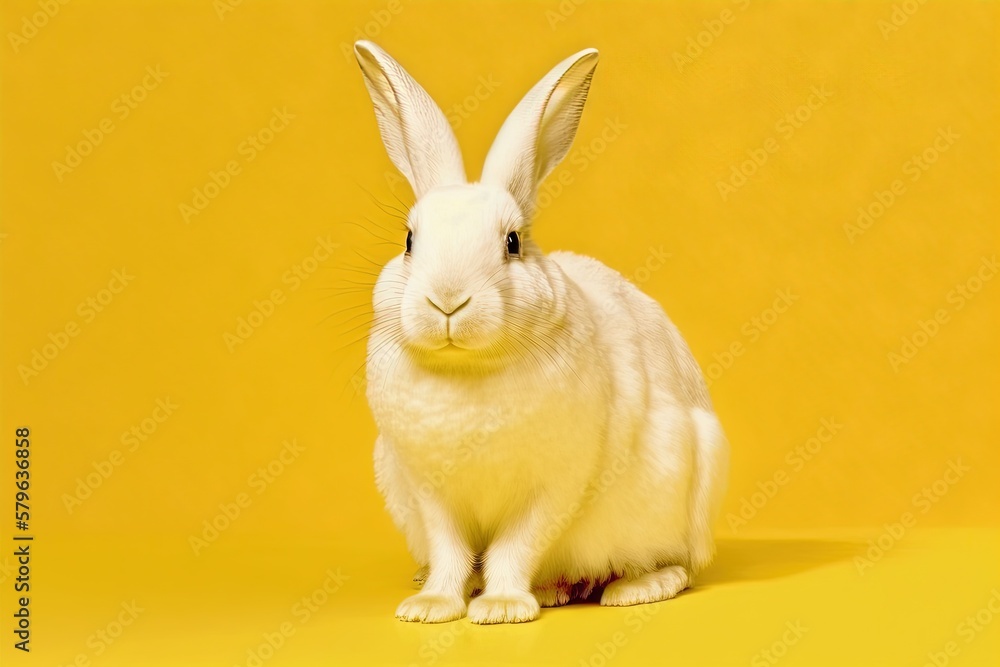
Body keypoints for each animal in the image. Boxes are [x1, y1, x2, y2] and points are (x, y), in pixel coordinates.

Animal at [356, 43, 732, 628]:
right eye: (409, 241)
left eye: (512, 242)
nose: (447, 300)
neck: (467, 370)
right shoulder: (428, 491)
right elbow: (448, 551)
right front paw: (430, 607)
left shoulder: (553, 486)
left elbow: (516, 546)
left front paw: (503, 608)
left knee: (678, 565)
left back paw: (636, 588)